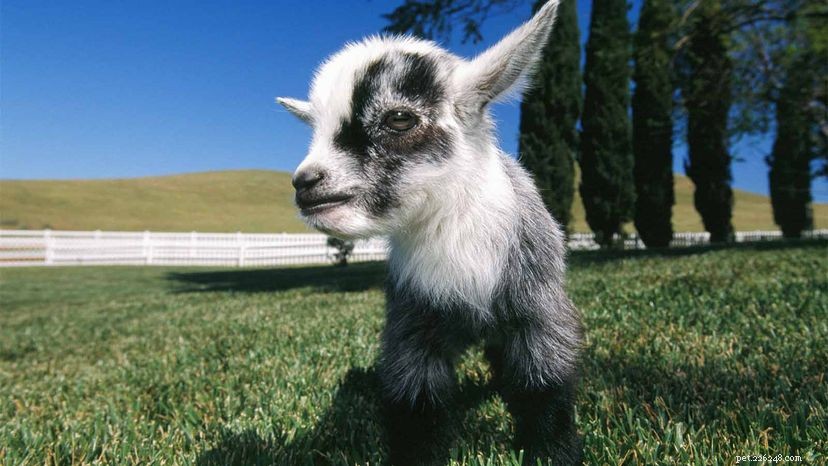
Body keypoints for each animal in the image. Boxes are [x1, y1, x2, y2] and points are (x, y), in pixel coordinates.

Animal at [278, 1, 583, 464]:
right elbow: (416, 404)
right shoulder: (412, 326)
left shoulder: (538, 313)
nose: (305, 183)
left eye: (399, 118)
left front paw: (552, 451)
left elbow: (543, 386)